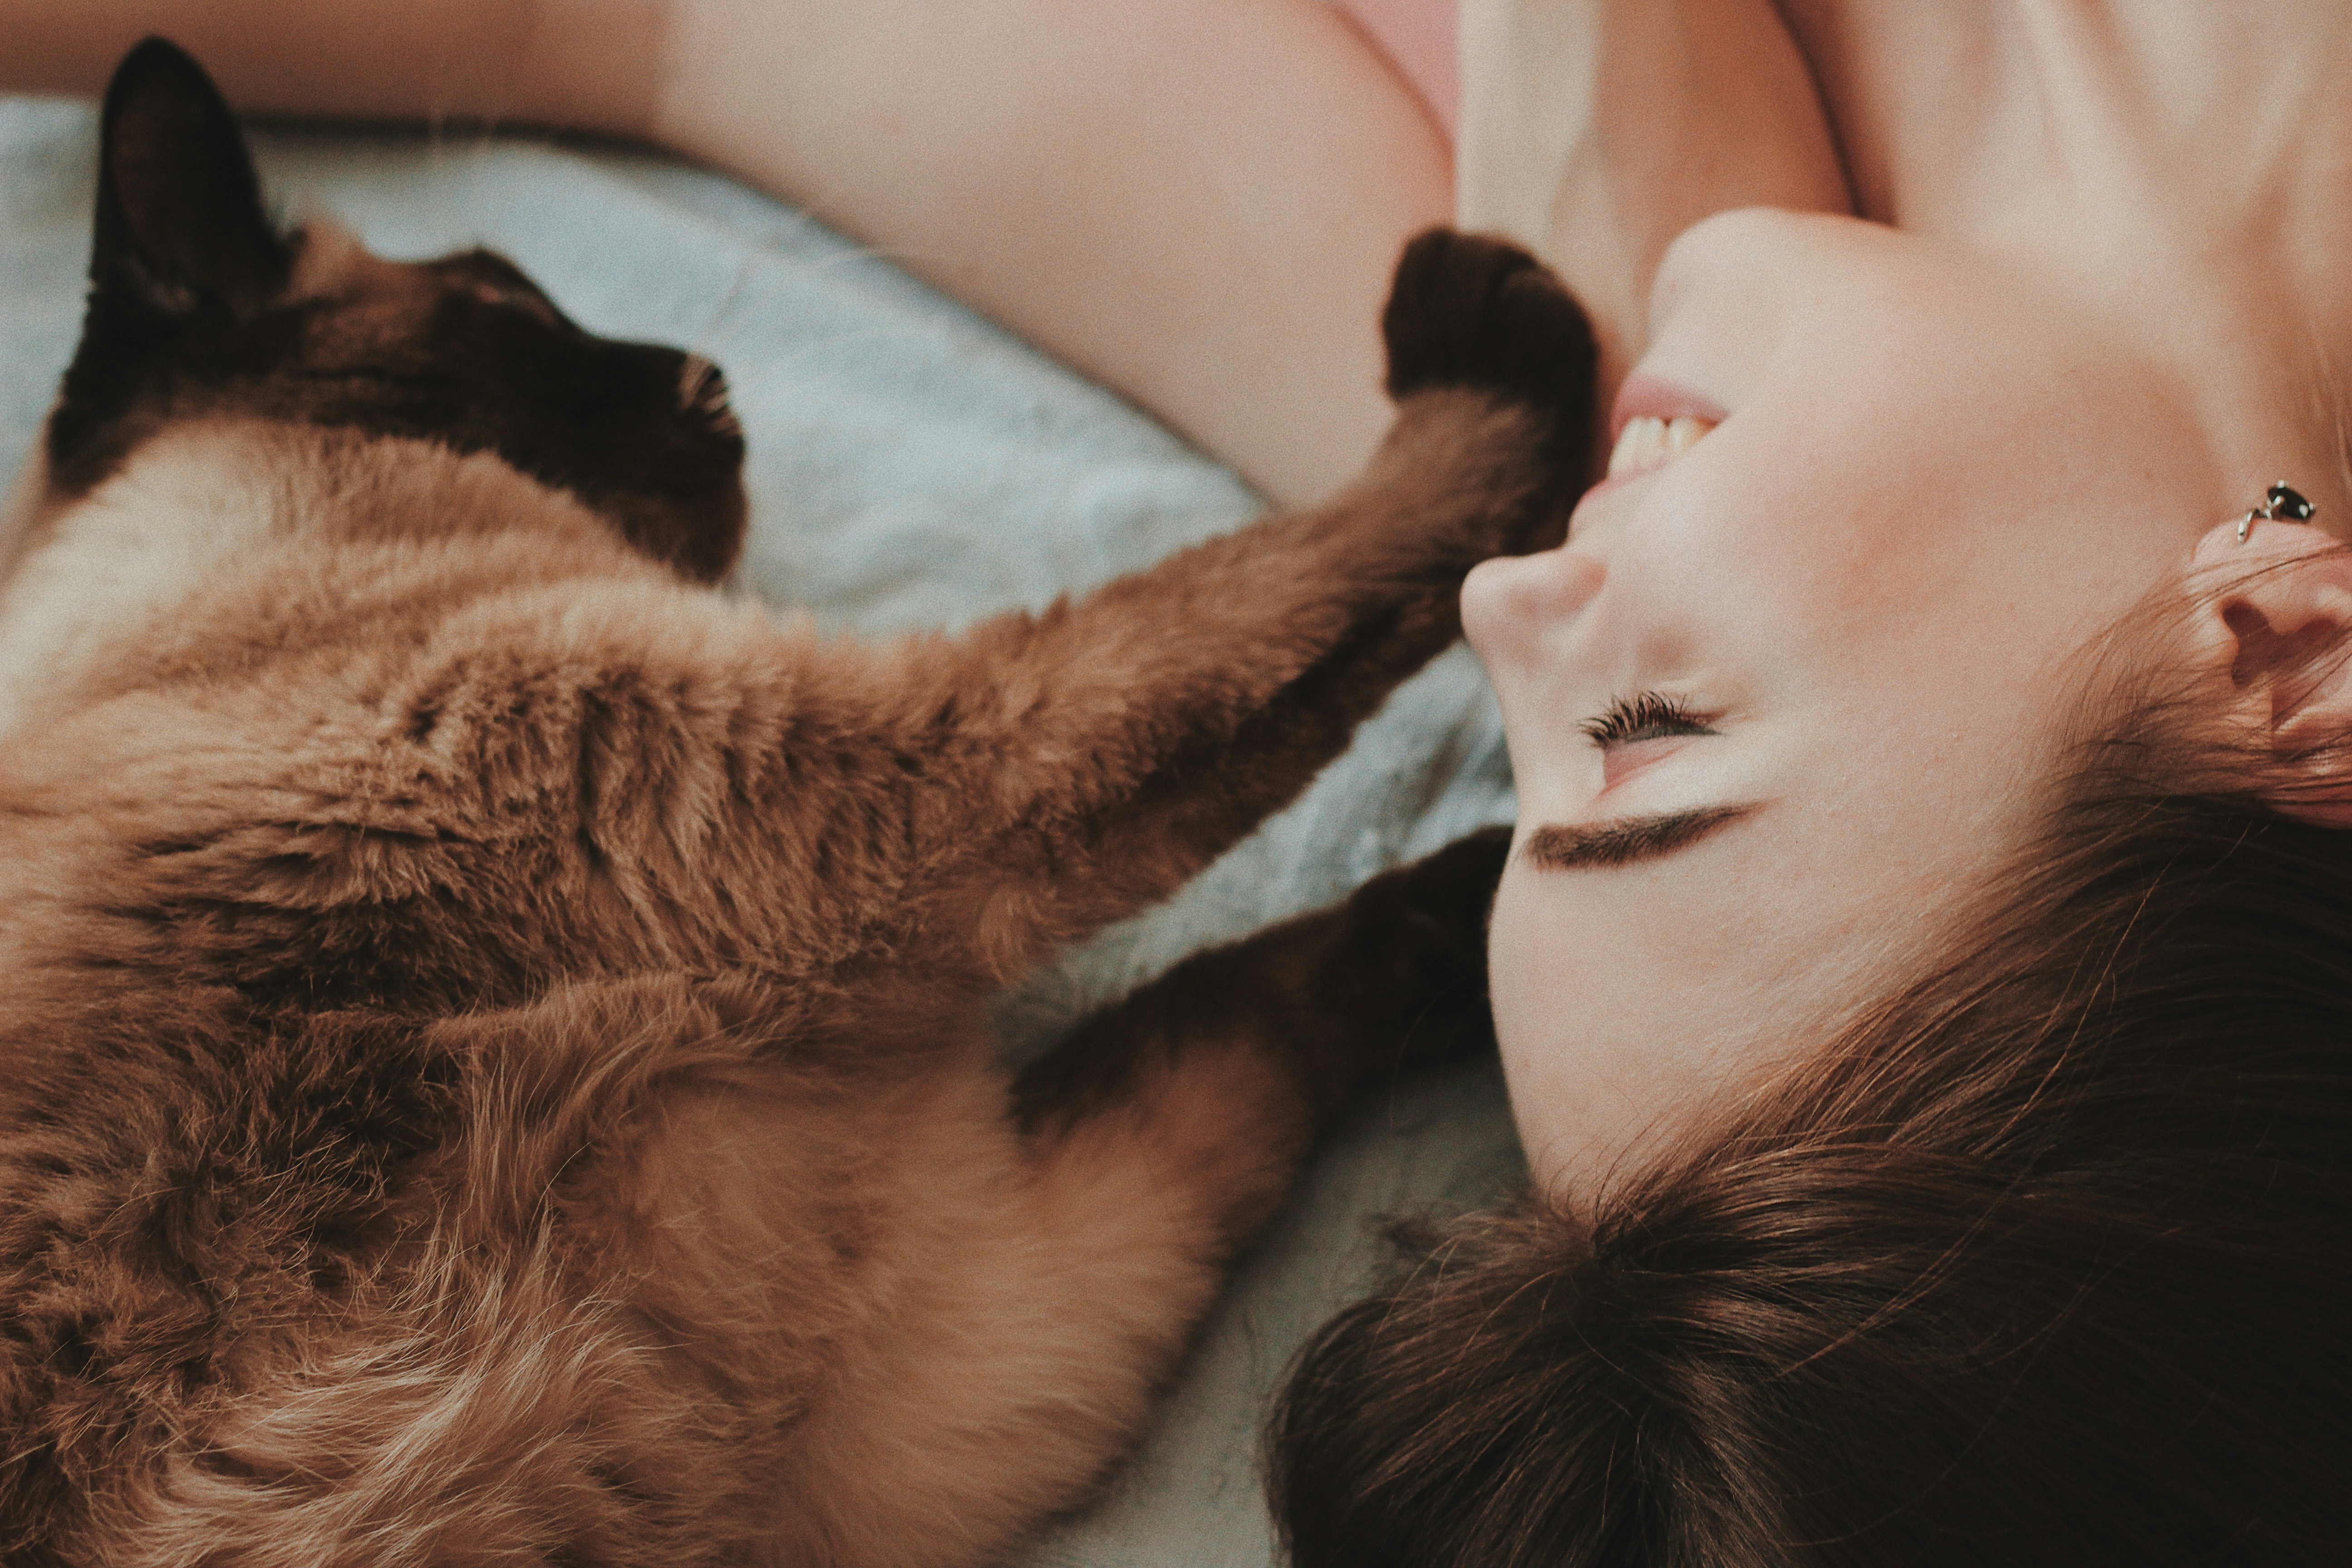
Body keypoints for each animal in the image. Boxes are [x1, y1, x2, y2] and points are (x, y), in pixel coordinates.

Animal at [0, 36, 1599, 1568]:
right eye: (513, 304)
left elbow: (1253, 997)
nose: (711, 381)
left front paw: (1506, 919)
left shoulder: (985, 1342)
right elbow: (1307, 581)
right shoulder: (909, 771)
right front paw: (1498, 337)